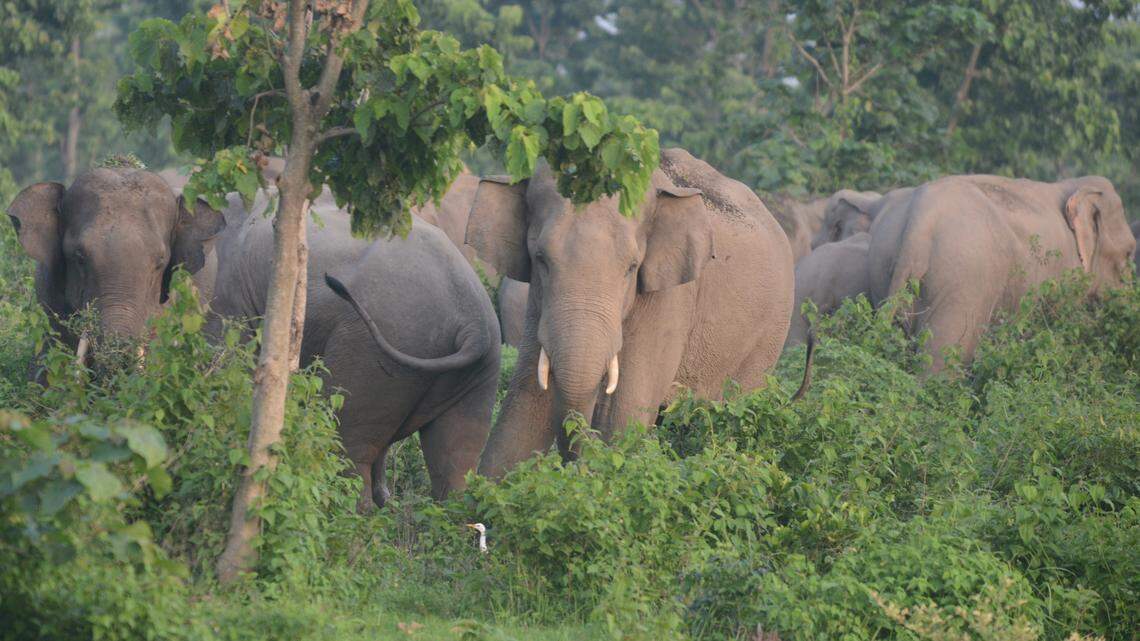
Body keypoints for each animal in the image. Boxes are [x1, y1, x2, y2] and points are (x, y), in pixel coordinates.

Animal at [8, 167, 501, 510]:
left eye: (160, 262)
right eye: (78, 257)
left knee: (350, 442)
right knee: (453, 465)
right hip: (475, 372)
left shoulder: (215, 313)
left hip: (377, 349)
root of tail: (473, 319)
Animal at [468, 148, 796, 477]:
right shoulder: (539, 302)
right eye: (540, 259)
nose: (572, 463)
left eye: (631, 267)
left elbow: (623, 413)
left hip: (767, 340)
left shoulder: (668, 297)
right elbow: (526, 404)